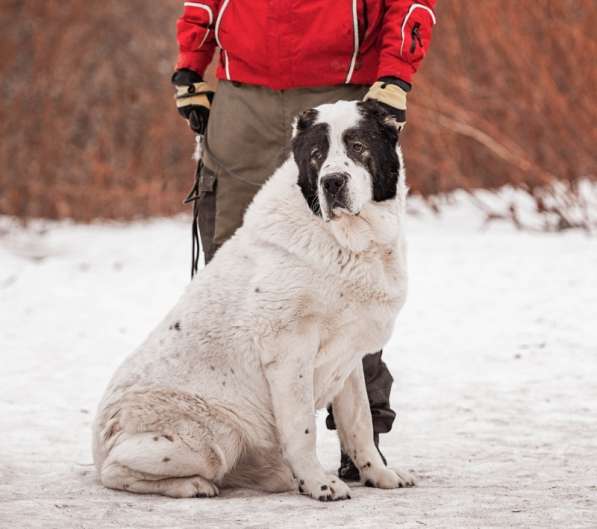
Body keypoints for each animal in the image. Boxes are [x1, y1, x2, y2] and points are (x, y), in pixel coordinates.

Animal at [92, 98, 410, 500]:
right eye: (316, 156)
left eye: (357, 147)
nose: (332, 181)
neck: (347, 241)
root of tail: (100, 442)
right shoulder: (289, 352)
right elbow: (302, 429)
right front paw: (319, 484)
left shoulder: (349, 359)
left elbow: (359, 424)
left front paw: (378, 474)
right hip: (216, 436)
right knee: (115, 472)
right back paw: (195, 485)